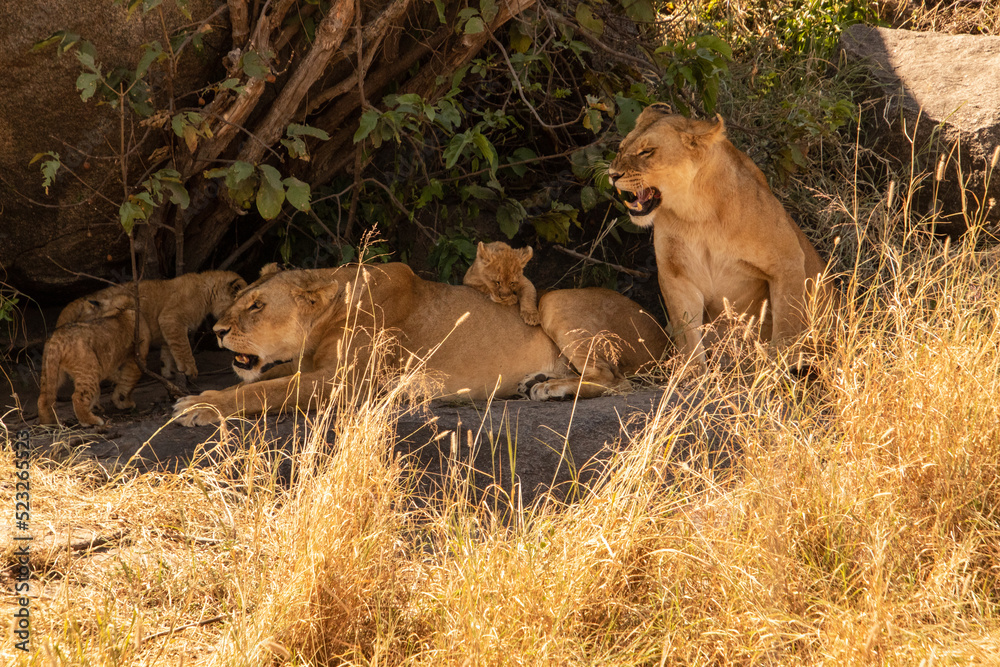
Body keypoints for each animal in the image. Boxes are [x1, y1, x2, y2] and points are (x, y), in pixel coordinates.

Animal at [38, 293, 151, 426]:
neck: (121, 308)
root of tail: (58, 337)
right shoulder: (138, 357)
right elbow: (128, 382)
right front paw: (123, 403)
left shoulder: (107, 363)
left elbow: (117, 376)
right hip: (89, 368)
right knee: (77, 397)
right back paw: (92, 421)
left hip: (51, 369)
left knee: (43, 398)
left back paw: (48, 424)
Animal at [57, 271, 247, 380]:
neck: (207, 291)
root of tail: (84, 298)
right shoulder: (170, 318)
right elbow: (183, 346)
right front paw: (189, 369)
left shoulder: (168, 328)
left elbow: (168, 350)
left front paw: (169, 372)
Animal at [172, 263, 668, 426]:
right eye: (239, 298)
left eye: (256, 306)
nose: (217, 332)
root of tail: (663, 335)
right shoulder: (314, 367)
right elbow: (265, 378)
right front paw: (204, 396)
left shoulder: (345, 384)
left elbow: (263, 389)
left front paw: (200, 407)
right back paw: (539, 380)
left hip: (555, 300)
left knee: (616, 380)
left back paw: (551, 388)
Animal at [608, 104, 830, 368]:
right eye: (621, 149)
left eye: (646, 152)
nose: (611, 174)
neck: (696, 213)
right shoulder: (677, 275)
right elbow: (689, 338)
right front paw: (693, 374)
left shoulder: (789, 259)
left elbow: (787, 326)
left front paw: (775, 370)